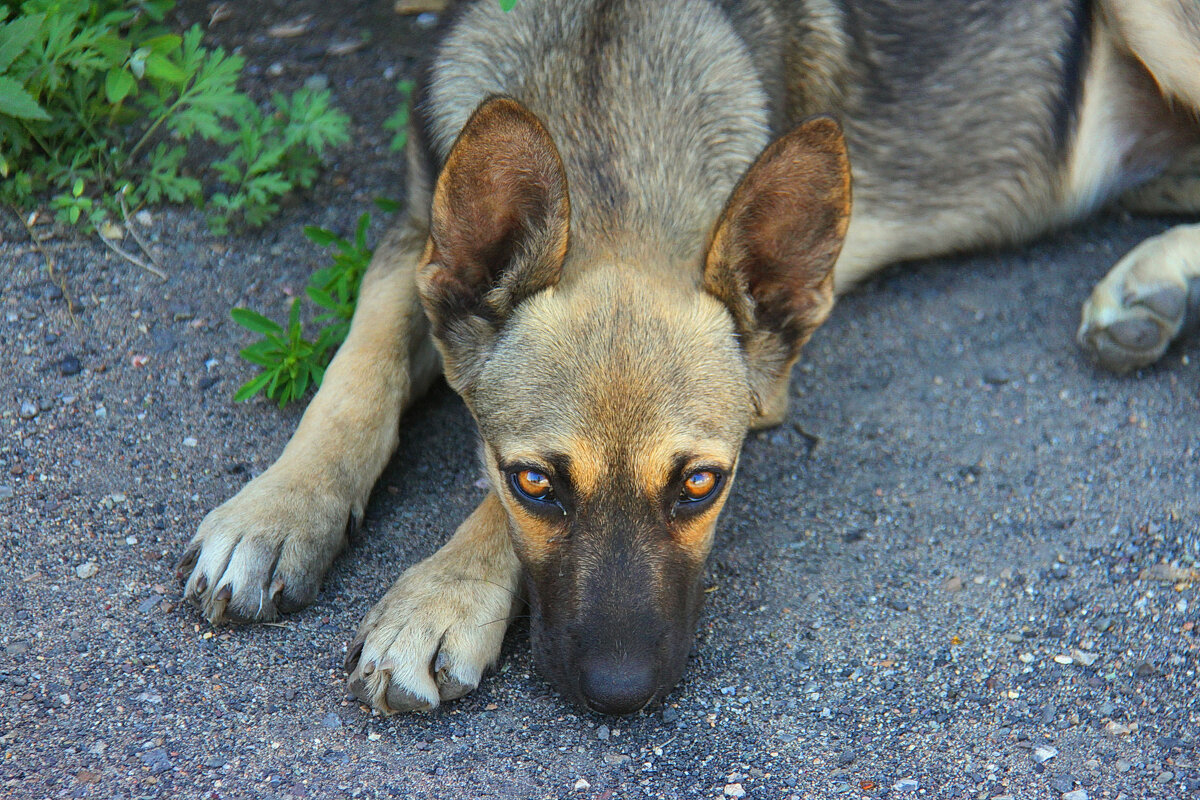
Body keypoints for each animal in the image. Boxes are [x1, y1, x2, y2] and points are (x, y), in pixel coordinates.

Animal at [180, 0, 1200, 714]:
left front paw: (438, 597)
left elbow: (462, 495)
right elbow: (355, 376)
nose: (619, 698)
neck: (605, 85)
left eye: (703, 485)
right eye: (536, 484)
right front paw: (279, 513)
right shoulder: (413, 247)